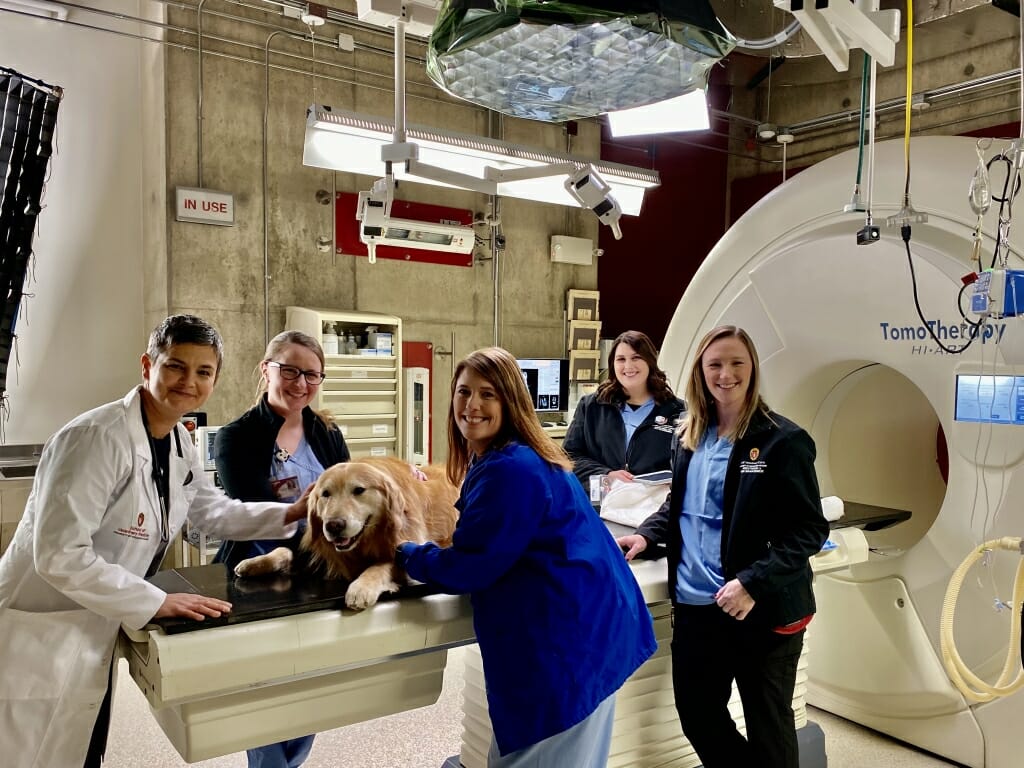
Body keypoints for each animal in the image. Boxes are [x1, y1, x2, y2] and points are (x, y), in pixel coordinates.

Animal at [234, 456, 458, 614]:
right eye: (325, 494)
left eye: (359, 490)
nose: (333, 526)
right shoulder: (321, 552)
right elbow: (285, 550)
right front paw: (253, 562)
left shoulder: (412, 547)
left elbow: (382, 565)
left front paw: (361, 587)